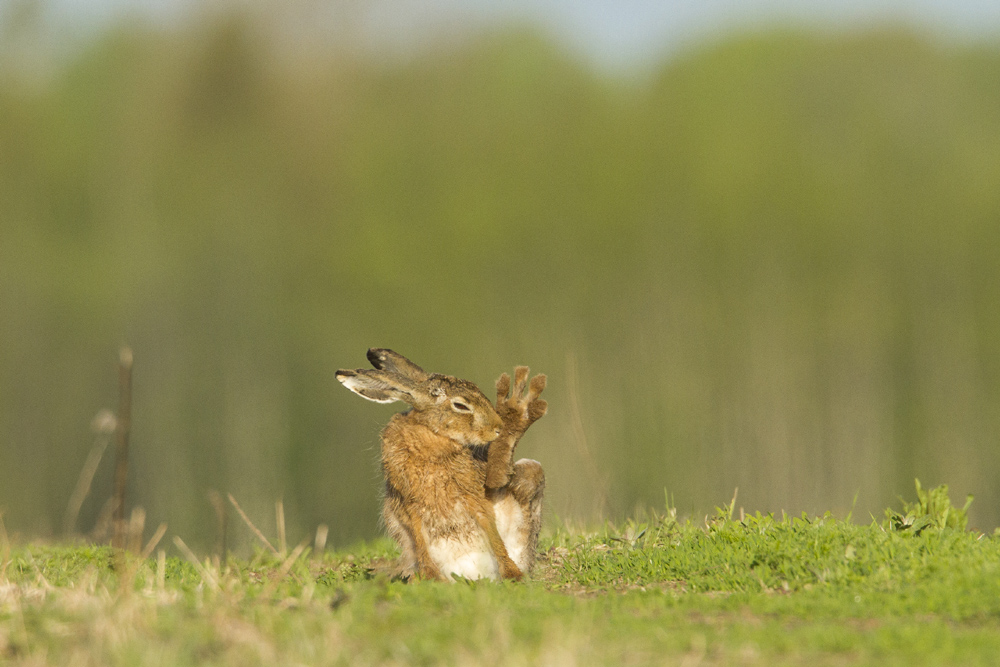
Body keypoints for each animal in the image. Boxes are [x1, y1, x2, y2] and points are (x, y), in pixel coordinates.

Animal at [336, 348, 547, 581]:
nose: (497, 428)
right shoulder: (408, 503)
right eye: (461, 405)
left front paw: (512, 573)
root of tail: (473, 574)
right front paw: (430, 577)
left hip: (531, 476)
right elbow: (418, 536)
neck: (433, 435)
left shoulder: (474, 492)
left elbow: (490, 524)